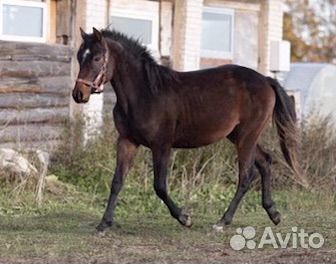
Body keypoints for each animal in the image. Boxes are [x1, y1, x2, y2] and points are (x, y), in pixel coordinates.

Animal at [72, 27, 304, 232]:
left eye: (97, 58)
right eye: (79, 57)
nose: (79, 94)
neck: (145, 93)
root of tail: (266, 80)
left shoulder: (161, 146)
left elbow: (160, 186)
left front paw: (185, 219)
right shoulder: (127, 141)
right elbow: (117, 181)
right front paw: (103, 224)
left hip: (247, 136)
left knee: (246, 176)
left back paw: (222, 222)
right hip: (239, 136)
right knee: (265, 161)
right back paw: (273, 213)